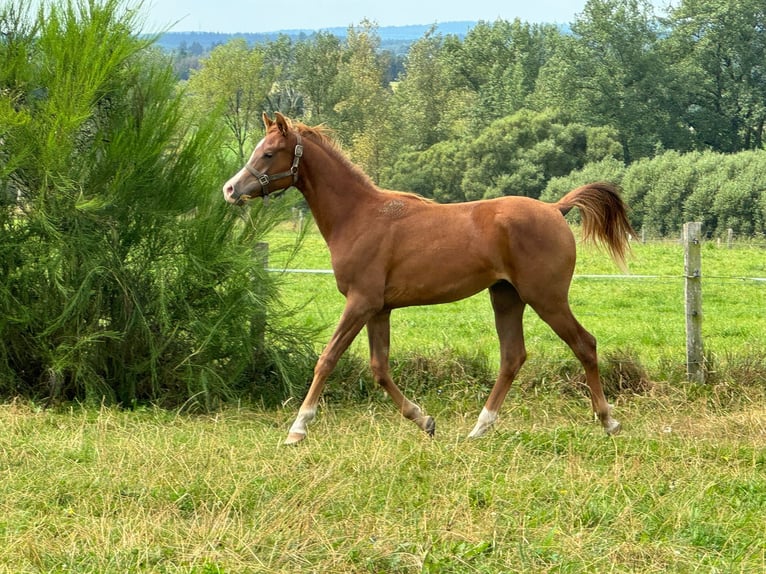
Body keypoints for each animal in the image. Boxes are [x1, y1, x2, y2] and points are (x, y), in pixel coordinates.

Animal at [225, 111, 640, 446]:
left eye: (268, 152)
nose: (230, 189)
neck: (357, 216)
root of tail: (556, 209)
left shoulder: (360, 302)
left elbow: (327, 358)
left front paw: (297, 428)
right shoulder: (379, 309)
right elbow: (379, 368)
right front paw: (424, 420)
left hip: (546, 297)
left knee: (584, 344)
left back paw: (609, 422)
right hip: (506, 296)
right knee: (512, 356)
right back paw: (479, 428)